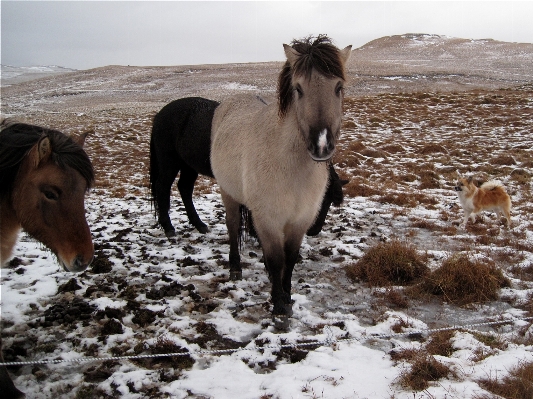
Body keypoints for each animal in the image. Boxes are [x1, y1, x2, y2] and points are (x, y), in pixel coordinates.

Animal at [148, 96, 348, 239]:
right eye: (322, 200)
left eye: (329, 201)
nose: (313, 231)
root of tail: (159, 116)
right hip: (169, 163)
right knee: (163, 187)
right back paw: (168, 227)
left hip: (188, 166)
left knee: (185, 188)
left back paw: (199, 224)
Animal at [210, 36, 352, 326]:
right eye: (298, 89)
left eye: (338, 87)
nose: (321, 145)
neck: (292, 168)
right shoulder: (269, 218)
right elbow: (277, 260)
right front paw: (278, 305)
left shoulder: (299, 220)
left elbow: (291, 258)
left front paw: (287, 296)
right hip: (228, 193)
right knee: (232, 226)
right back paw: (235, 268)